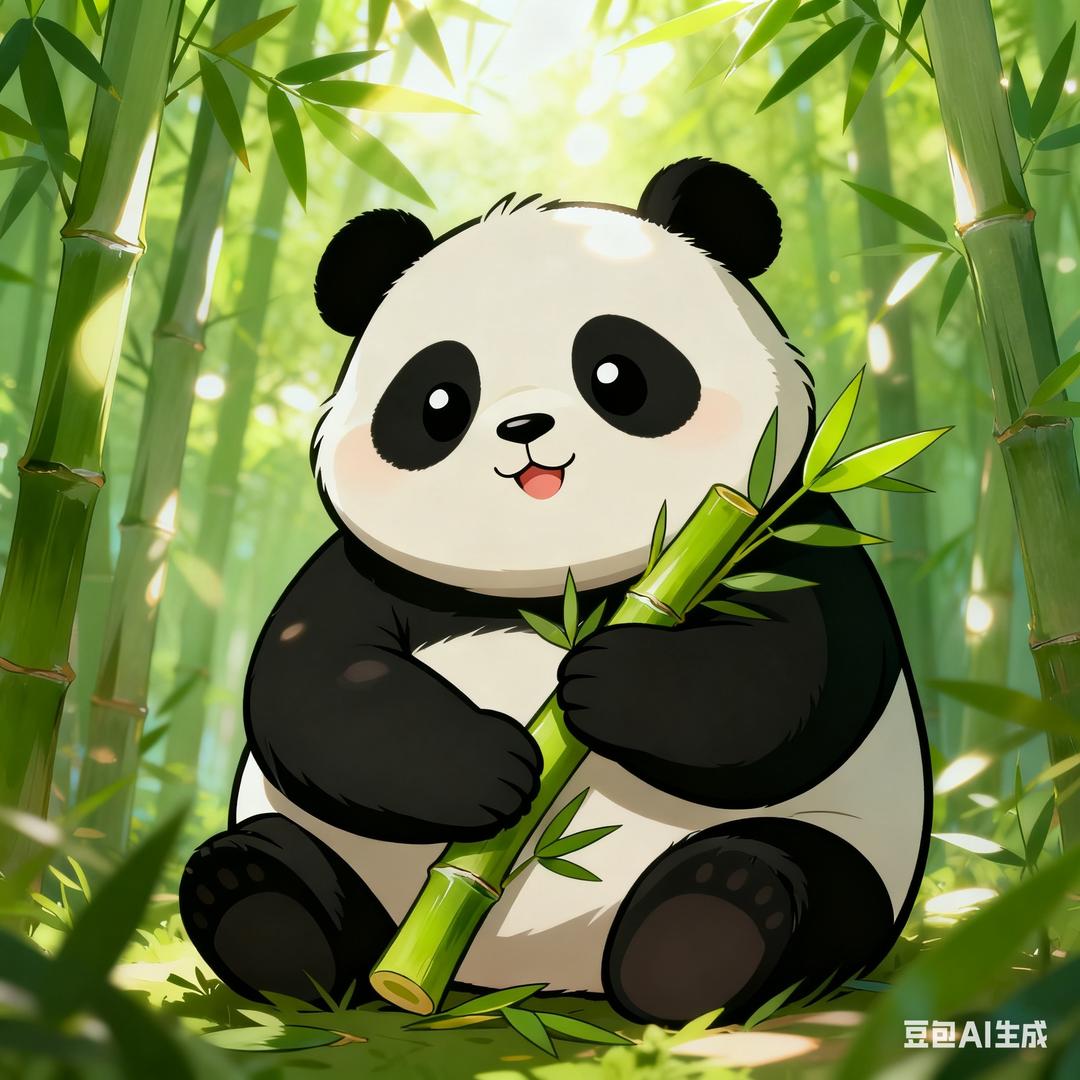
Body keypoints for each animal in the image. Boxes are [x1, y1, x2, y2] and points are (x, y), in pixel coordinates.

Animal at [179, 158, 931, 1026]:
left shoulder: (775, 524)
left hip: (860, 844)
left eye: (618, 374)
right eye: (439, 400)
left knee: (810, 879)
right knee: (294, 867)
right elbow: (314, 687)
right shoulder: (357, 569)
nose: (523, 429)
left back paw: (710, 927)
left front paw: (609, 682)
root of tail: (531, 974)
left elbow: (789, 680)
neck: (558, 581)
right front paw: (488, 765)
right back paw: (265, 909)